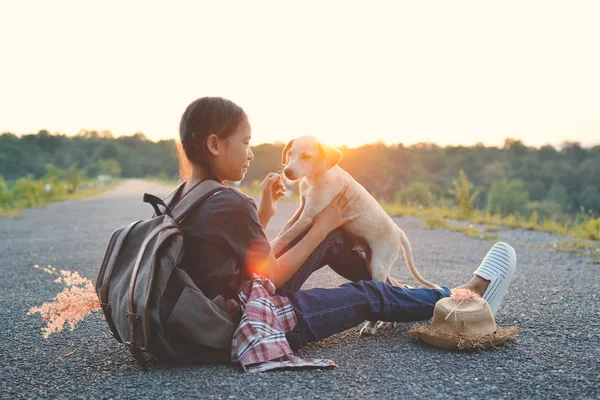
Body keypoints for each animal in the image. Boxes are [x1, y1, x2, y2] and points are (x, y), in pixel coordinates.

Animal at [272, 137, 440, 334]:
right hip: (372, 262)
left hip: (378, 265)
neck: (316, 177)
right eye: (290, 154)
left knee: (384, 290)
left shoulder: (308, 217)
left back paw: (370, 325)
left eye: (306, 156)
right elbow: (284, 230)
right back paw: (388, 322)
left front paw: (271, 250)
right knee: (392, 287)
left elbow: (286, 235)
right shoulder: (300, 210)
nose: (287, 172)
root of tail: (399, 231)